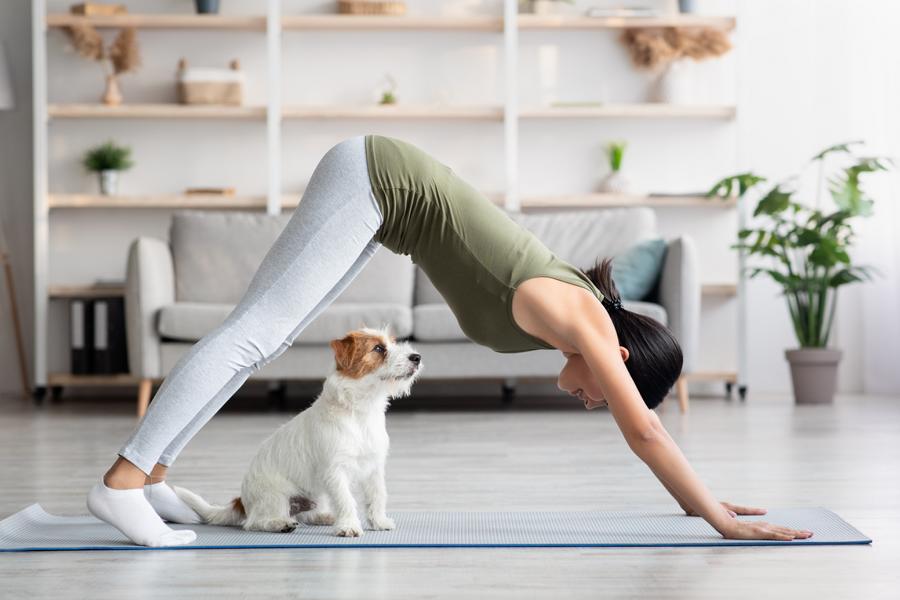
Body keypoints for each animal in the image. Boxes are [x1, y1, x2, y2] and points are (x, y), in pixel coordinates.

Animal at [175, 328, 422, 540]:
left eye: (393, 342)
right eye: (378, 348)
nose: (417, 357)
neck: (360, 411)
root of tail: (242, 501)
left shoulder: (374, 468)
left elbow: (377, 496)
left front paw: (379, 522)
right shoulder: (335, 471)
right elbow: (346, 499)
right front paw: (349, 526)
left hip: (316, 495)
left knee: (308, 515)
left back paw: (325, 517)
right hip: (276, 496)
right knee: (254, 522)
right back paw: (281, 523)